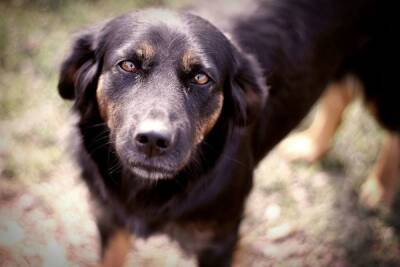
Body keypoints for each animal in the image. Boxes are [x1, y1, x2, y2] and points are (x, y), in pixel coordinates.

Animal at [57, 1, 396, 266]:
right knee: (340, 93)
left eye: (201, 78)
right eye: (128, 65)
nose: (153, 140)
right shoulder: (109, 220)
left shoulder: (218, 242)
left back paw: (379, 189)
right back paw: (312, 147)